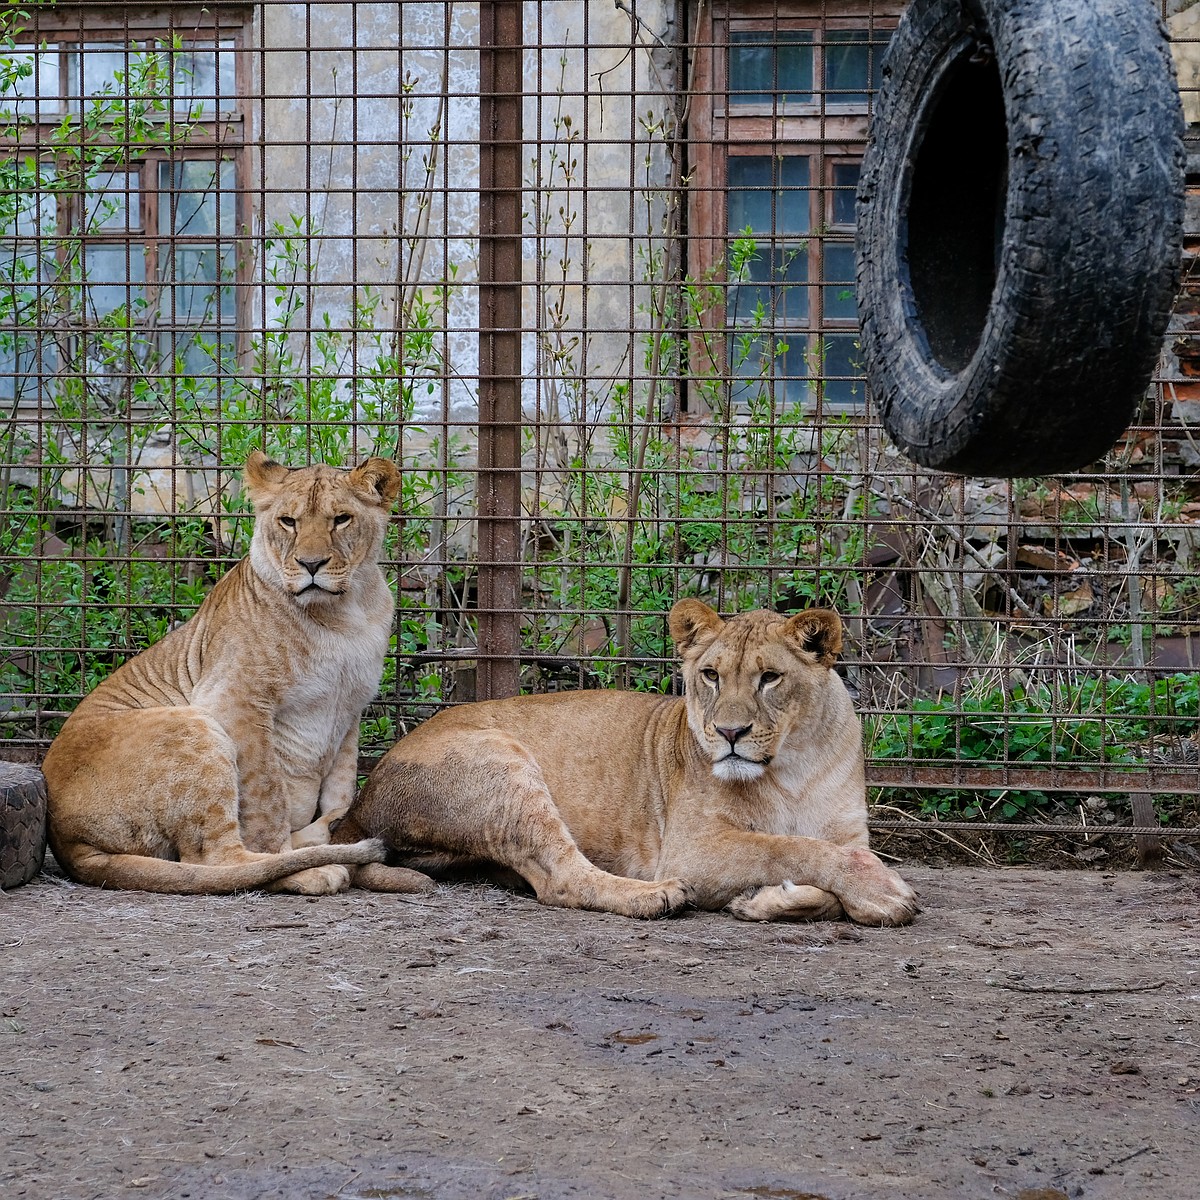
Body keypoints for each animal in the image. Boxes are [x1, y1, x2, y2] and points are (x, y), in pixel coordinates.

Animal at [41, 451, 398, 892]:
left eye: (342, 519)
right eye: (289, 521)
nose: (311, 564)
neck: (344, 613)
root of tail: (68, 842)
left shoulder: (350, 711)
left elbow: (341, 787)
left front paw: (337, 818)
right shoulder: (234, 699)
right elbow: (266, 793)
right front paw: (292, 853)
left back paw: (322, 837)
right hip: (191, 726)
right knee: (217, 860)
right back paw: (312, 869)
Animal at [331, 600, 916, 926]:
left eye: (770, 678)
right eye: (710, 675)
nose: (730, 733)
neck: (791, 768)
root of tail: (365, 792)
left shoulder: (846, 830)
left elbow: (820, 867)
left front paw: (766, 901)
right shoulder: (692, 849)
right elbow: (791, 848)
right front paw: (885, 891)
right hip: (503, 764)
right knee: (561, 879)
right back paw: (657, 897)